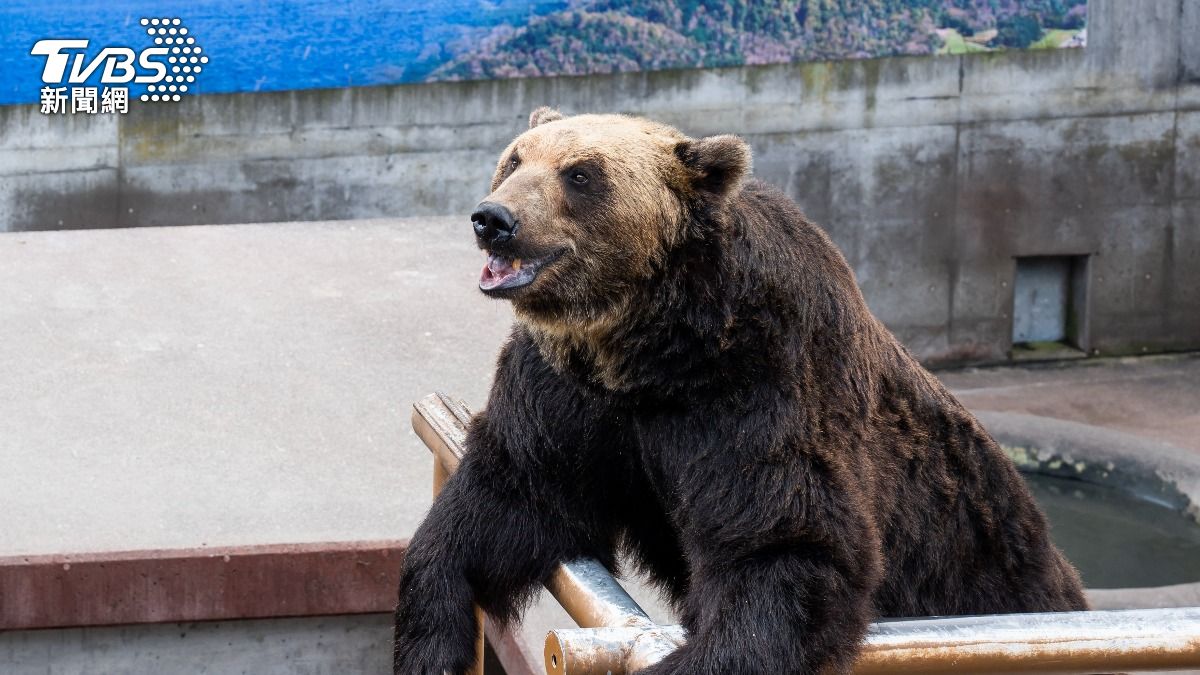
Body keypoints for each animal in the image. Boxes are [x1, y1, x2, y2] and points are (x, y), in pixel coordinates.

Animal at [392, 108, 1087, 674]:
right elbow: (509, 495)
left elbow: (781, 547)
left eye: (581, 175)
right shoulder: (570, 392)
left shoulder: (758, 386)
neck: (649, 347)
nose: (494, 220)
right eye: (514, 159)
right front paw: (433, 641)